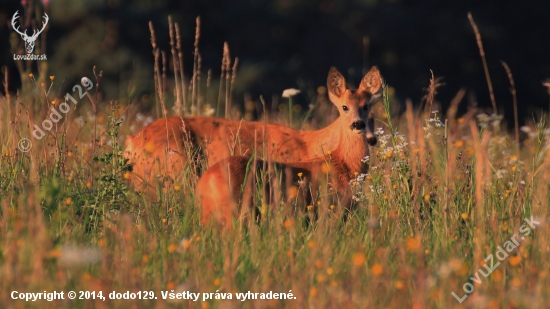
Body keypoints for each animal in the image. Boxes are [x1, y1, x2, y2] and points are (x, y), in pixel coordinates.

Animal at [198, 67, 384, 226]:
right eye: (344, 107)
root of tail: (205, 180)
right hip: (234, 210)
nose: (358, 124)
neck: (344, 164)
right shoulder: (335, 209)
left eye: (366, 106)